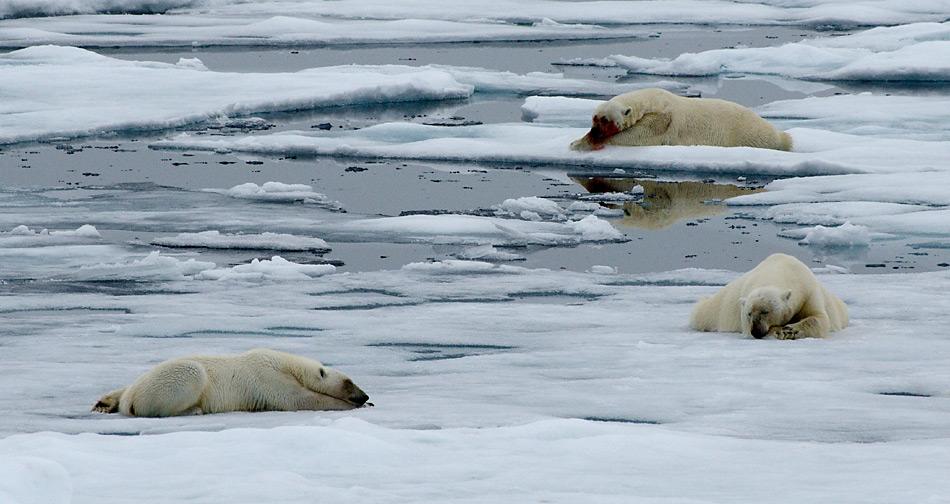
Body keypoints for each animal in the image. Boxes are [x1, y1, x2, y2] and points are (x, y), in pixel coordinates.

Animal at [92, 346, 368, 418]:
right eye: (349, 382)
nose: (365, 395)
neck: (288, 365)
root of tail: (130, 400)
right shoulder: (267, 377)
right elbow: (298, 399)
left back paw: (105, 403)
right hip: (171, 379)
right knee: (192, 373)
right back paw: (194, 410)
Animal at [568, 88, 792, 152]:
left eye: (606, 120)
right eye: (595, 118)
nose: (596, 132)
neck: (652, 99)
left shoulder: (662, 119)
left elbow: (639, 135)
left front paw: (580, 143)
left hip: (749, 135)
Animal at [688, 254, 852, 340]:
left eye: (765, 312)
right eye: (748, 314)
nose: (756, 331)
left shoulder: (808, 290)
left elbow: (819, 318)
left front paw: (790, 330)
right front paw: (780, 331)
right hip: (711, 313)